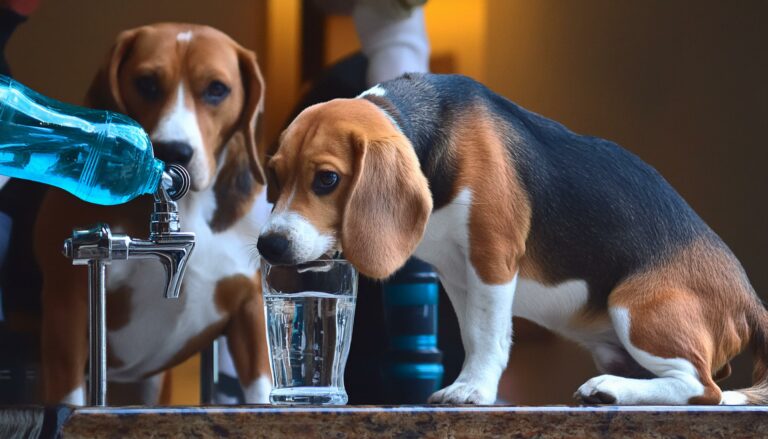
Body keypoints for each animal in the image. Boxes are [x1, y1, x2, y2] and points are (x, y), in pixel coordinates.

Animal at [35, 24, 272, 406]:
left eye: (217, 89)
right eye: (146, 82)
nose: (173, 151)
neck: (190, 208)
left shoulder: (251, 311)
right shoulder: (66, 308)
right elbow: (68, 398)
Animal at [260, 74, 768, 408]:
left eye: (327, 179)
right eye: (276, 176)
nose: (268, 245)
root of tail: (749, 302)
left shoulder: (492, 257)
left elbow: (487, 334)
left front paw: (473, 389)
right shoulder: (455, 274)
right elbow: (472, 331)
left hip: (637, 306)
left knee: (703, 388)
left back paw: (609, 390)